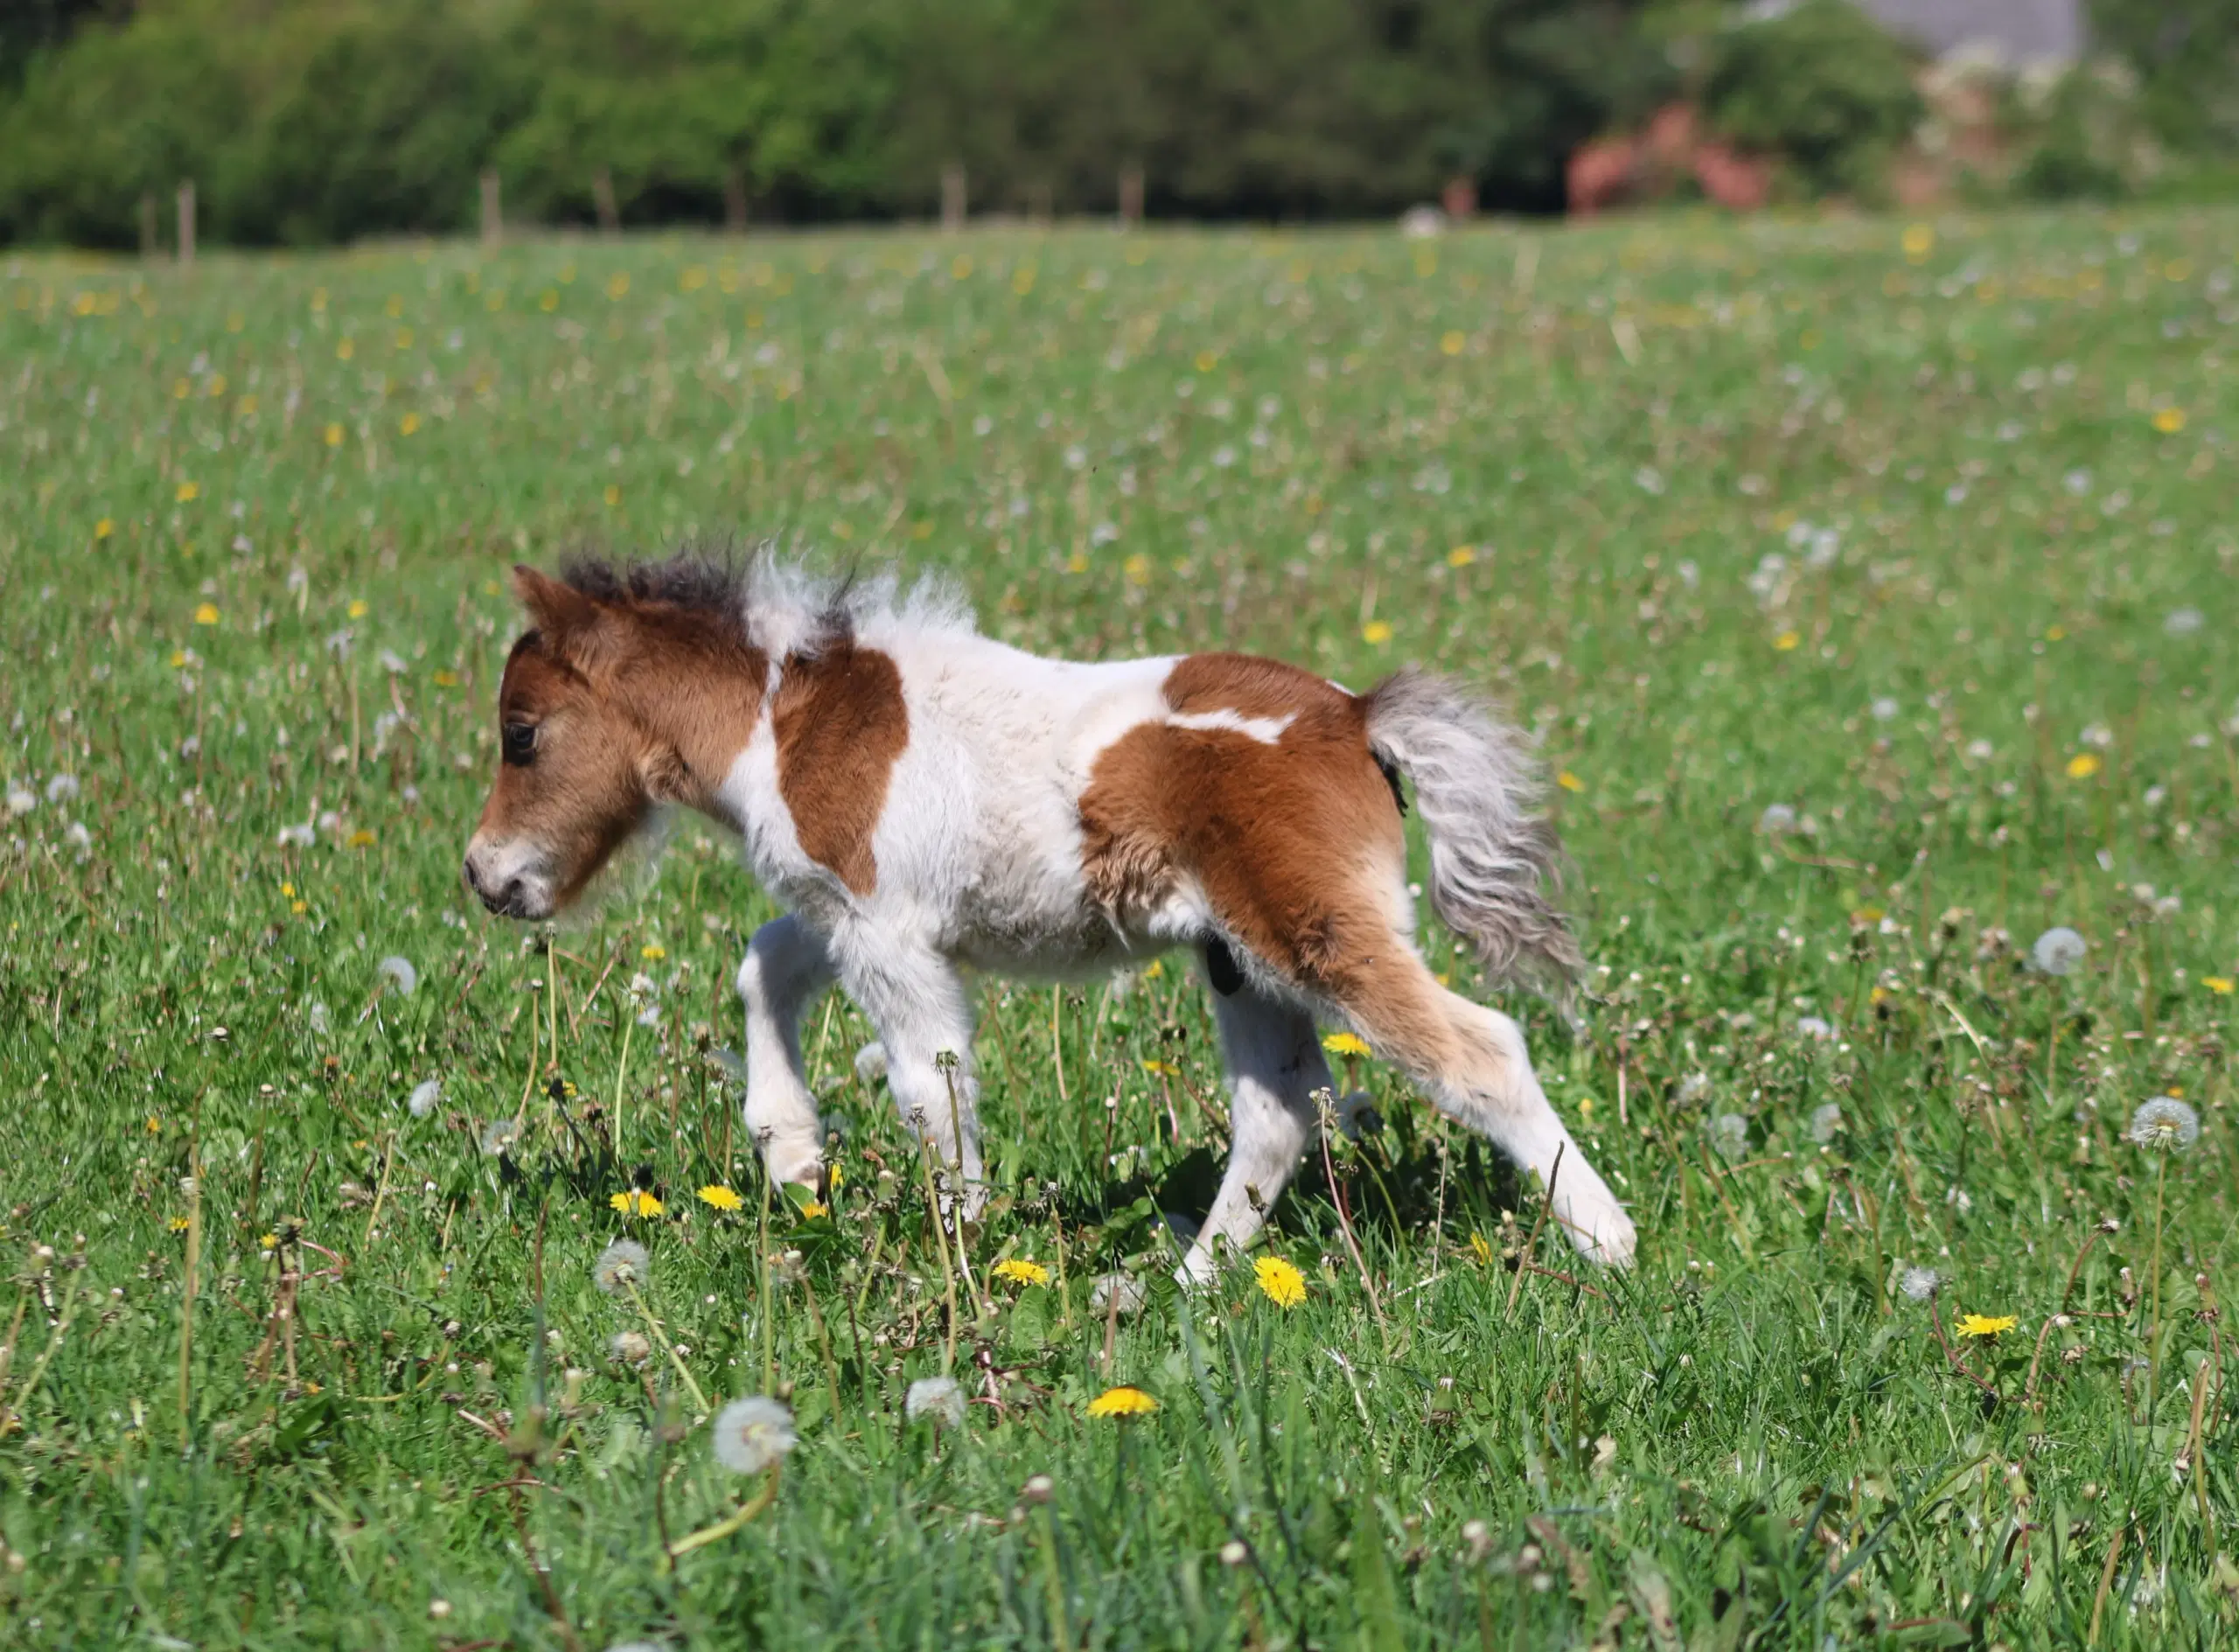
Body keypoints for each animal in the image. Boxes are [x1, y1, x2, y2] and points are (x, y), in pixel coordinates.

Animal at [463, 559, 1638, 1280]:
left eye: (522, 733)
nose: (484, 875)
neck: (781, 723)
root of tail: (1352, 718)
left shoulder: (888, 934)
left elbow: (931, 1083)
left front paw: (963, 1250)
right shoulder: (847, 910)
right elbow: (763, 965)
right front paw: (794, 1158)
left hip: (1312, 929)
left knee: (1477, 1050)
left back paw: (1610, 1243)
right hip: (1235, 955)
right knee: (1279, 1103)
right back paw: (1194, 1281)